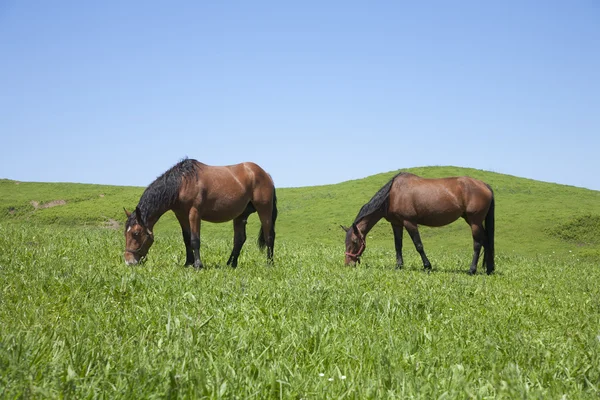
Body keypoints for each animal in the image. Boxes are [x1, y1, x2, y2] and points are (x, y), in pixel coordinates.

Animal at [126, 158, 278, 268]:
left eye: (136, 233)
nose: (128, 261)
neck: (183, 183)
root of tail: (266, 174)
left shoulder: (194, 213)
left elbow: (195, 240)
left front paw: (198, 264)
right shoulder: (181, 215)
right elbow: (186, 239)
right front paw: (188, 263)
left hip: (264, 210)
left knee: (269, 236)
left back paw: (269, 264)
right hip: (240, 215)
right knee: (239, 239)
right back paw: (231, 264)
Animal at [344, 172, 494, 276]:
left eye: (355, 241)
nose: (348, 264)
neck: (392, 194)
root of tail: (484, 185)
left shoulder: (409, 222)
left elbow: (419, 245)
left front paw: (427, 266)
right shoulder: (396, 224)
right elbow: (398, 246)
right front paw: (399, 266)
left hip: (474, 222)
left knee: (478, 244)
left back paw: (472, 270)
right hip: (472, 220)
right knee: (486, 241)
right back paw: (489, 269)